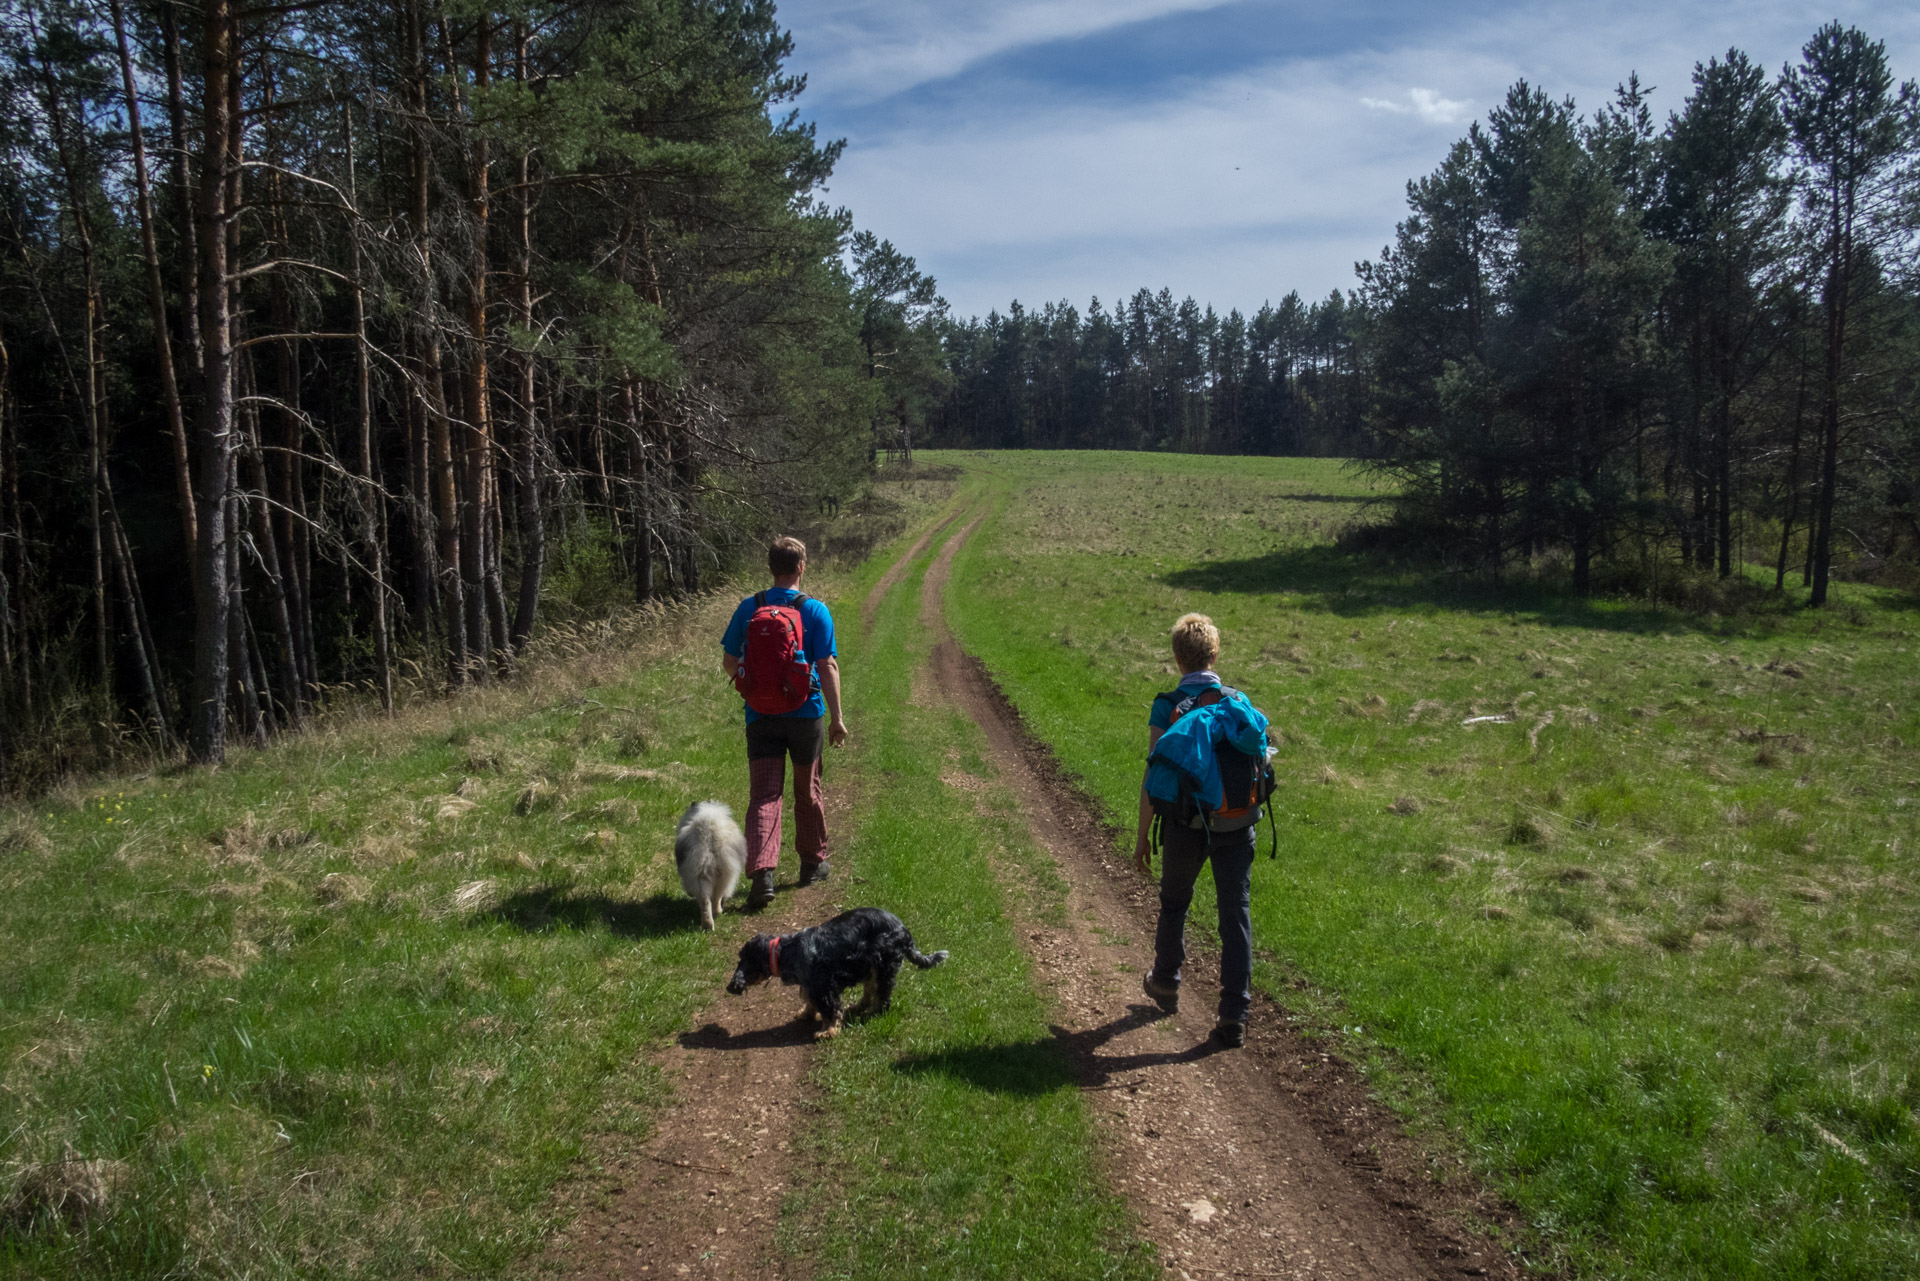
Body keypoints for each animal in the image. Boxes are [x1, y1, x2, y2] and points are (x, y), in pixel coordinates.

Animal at [679, 802, 744, 933]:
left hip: (702, 874)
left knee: (706, 900)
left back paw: (708, 924)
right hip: (724, 875)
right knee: (715, 897)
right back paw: (716, 914)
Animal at [721, 906, 948, 1037]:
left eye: (742, 961)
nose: (730, 987)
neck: (785, 951)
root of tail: (904, 930)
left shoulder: (824, 987)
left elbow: (830, 1010)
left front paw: (828, 1031)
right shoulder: (811, 986)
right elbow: (810, 1002)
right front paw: (806, 1014)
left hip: (883, 966)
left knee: (882, 997)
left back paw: (870, 1013)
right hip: (869, 968)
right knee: (870, 992)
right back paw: (857, 1007)